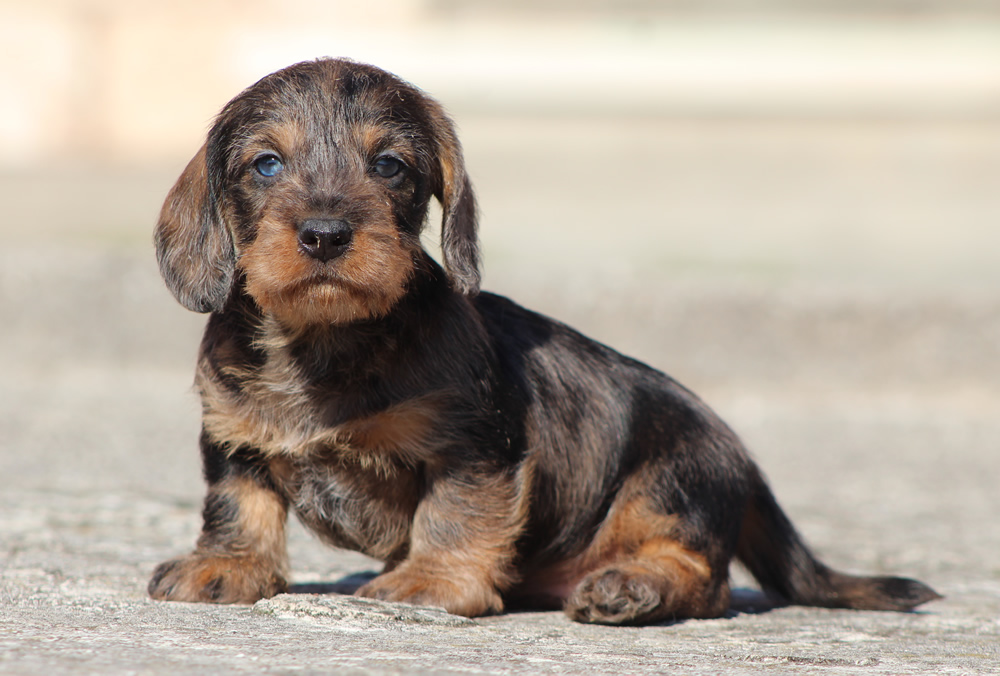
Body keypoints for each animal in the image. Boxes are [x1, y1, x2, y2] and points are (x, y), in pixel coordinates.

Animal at [148, 58, 936, 624]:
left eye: (390, 165)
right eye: (267, 164)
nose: (324, 234)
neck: (325, 343)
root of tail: (744, 461)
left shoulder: (475, 446)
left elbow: (454, 515)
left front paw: (431, 580)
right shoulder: (233, 439)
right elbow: (239, 505)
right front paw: (225, 567)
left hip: (669, 479)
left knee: (701, 577)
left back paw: (630, 588)